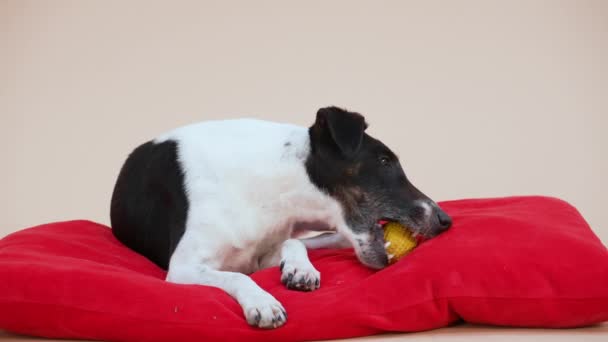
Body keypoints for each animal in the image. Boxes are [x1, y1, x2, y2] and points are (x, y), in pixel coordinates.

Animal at [110, 106, 452, 328]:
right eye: (383, 161)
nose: (445, 220)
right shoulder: (183, 267)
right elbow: (236, 276)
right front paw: (262, 302)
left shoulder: (265, 254)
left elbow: (291, 245)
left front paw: (300, 270)